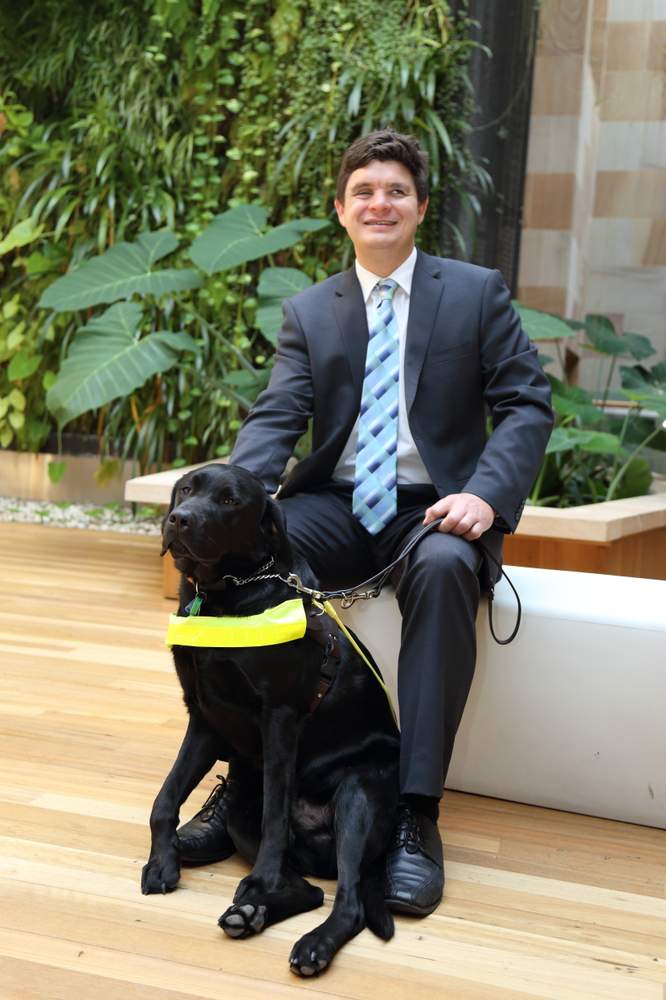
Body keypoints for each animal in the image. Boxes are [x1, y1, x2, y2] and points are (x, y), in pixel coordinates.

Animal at [141, 462, 400, 976]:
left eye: (229, 501)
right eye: (186, 489)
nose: (179, 518)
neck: (224, 597)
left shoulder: (278, 718)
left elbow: (276, 815)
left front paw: (259, 880)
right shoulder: (203, 717)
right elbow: (165, 798)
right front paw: (162, 861)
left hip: (357, 797)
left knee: (348, 901)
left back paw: (309, 941)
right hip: (242, 814)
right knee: (310, 889)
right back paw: (250, 913)